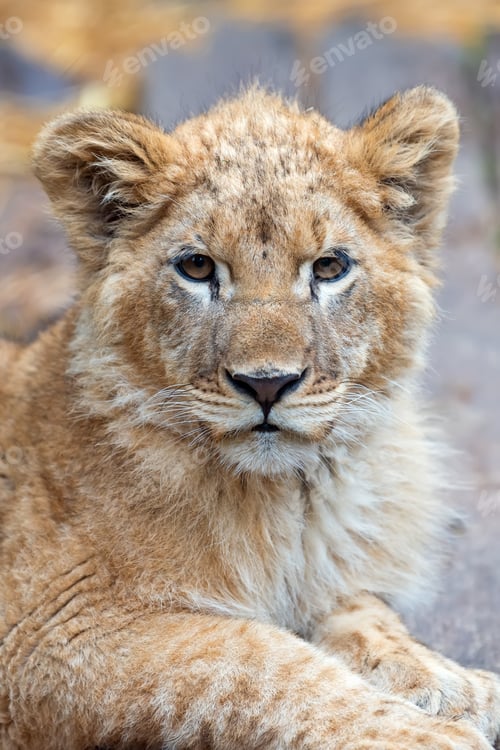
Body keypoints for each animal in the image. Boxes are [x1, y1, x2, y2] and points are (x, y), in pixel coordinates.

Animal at [0, 85, 499, 749]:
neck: (289, 501)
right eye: (197, 268)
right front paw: (425, 734)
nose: (268, 384)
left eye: (330, 267)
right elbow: (262, 661)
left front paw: (455, 684)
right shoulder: (54, 628)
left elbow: (366, 615)